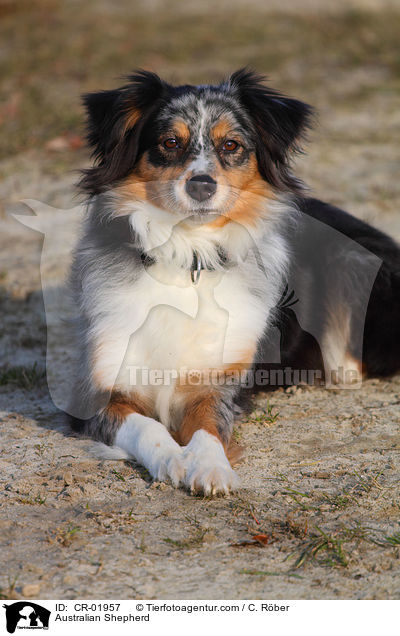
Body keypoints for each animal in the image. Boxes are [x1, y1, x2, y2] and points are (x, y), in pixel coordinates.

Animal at [69, 71, 400, 496]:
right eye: (169, 142)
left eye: (231, 145)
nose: (201, 185)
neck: (188, 254)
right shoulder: (97, 392)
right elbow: (148, 428)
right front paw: (174, 459)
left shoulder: (218, 384)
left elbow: (207, 426)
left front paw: (210, 466)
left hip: (351, 262)